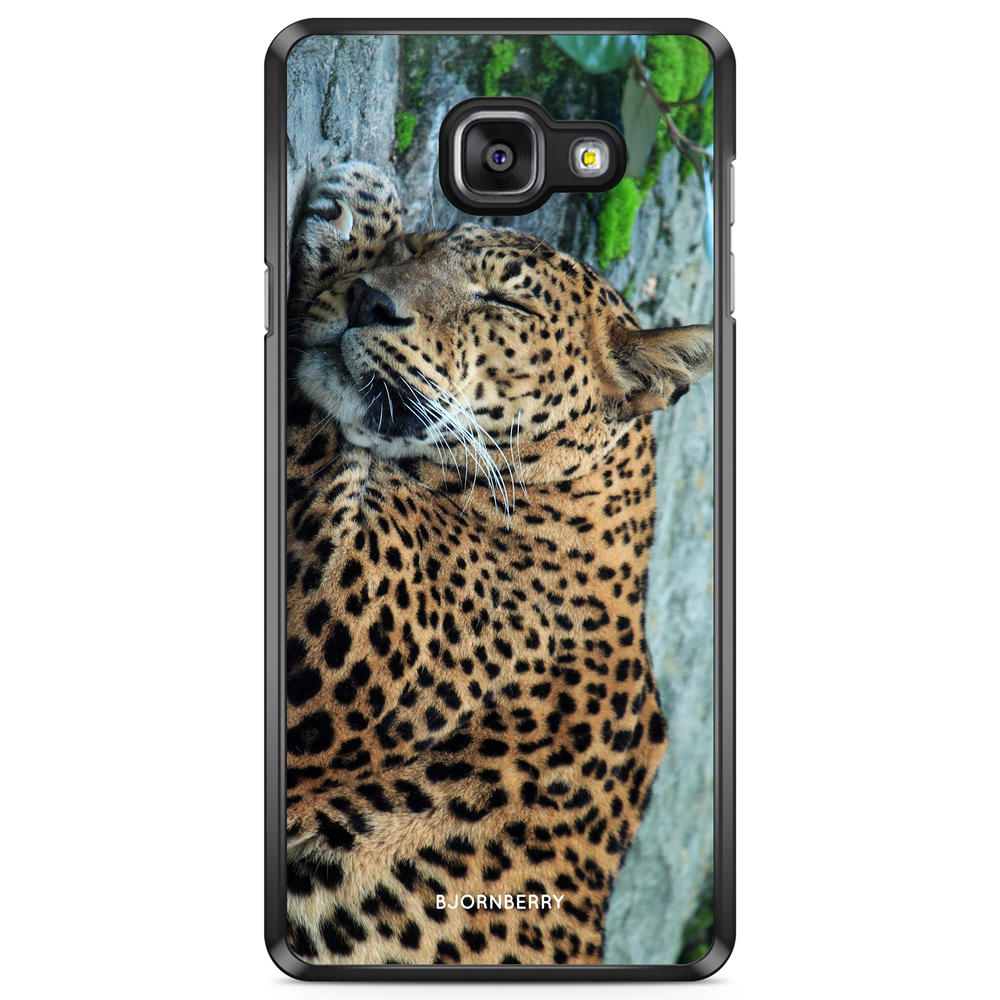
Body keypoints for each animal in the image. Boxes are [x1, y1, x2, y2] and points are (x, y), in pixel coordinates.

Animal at [284, 162, 713, 966]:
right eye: (423, 248)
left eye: (503, 302)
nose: (369, 300)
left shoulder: (341, 619)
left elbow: (316, 428)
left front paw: (357, 209)